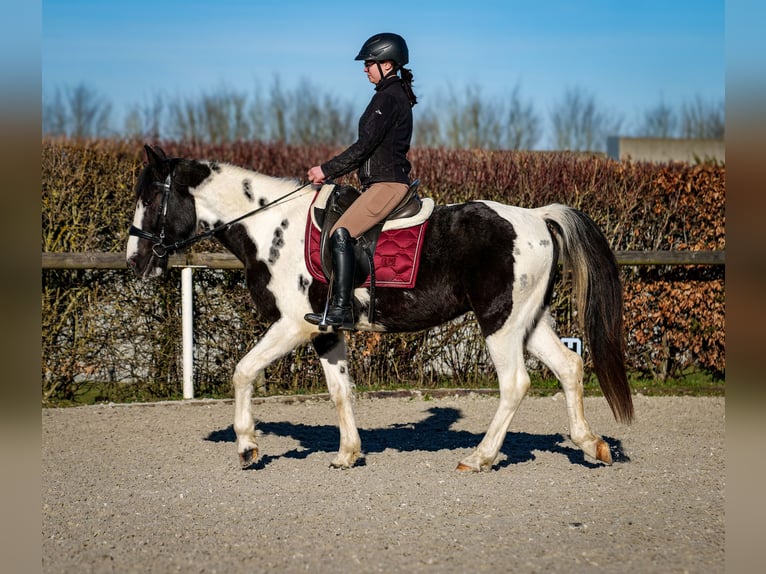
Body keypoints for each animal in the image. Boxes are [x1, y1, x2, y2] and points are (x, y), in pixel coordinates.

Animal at [127, 146, 636, 474]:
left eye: (151, 198)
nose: (136, 261)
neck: (271, 227)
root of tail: (536, 216)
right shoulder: (326, 330)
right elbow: (340, 392)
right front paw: (347, 454)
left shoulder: (291, 326)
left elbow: (243, 371)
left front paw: (248, 446)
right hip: (528, 321)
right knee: (569, 366)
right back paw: (591, 445)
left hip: (500, 322)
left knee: (515, 383)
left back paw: (479, 458)